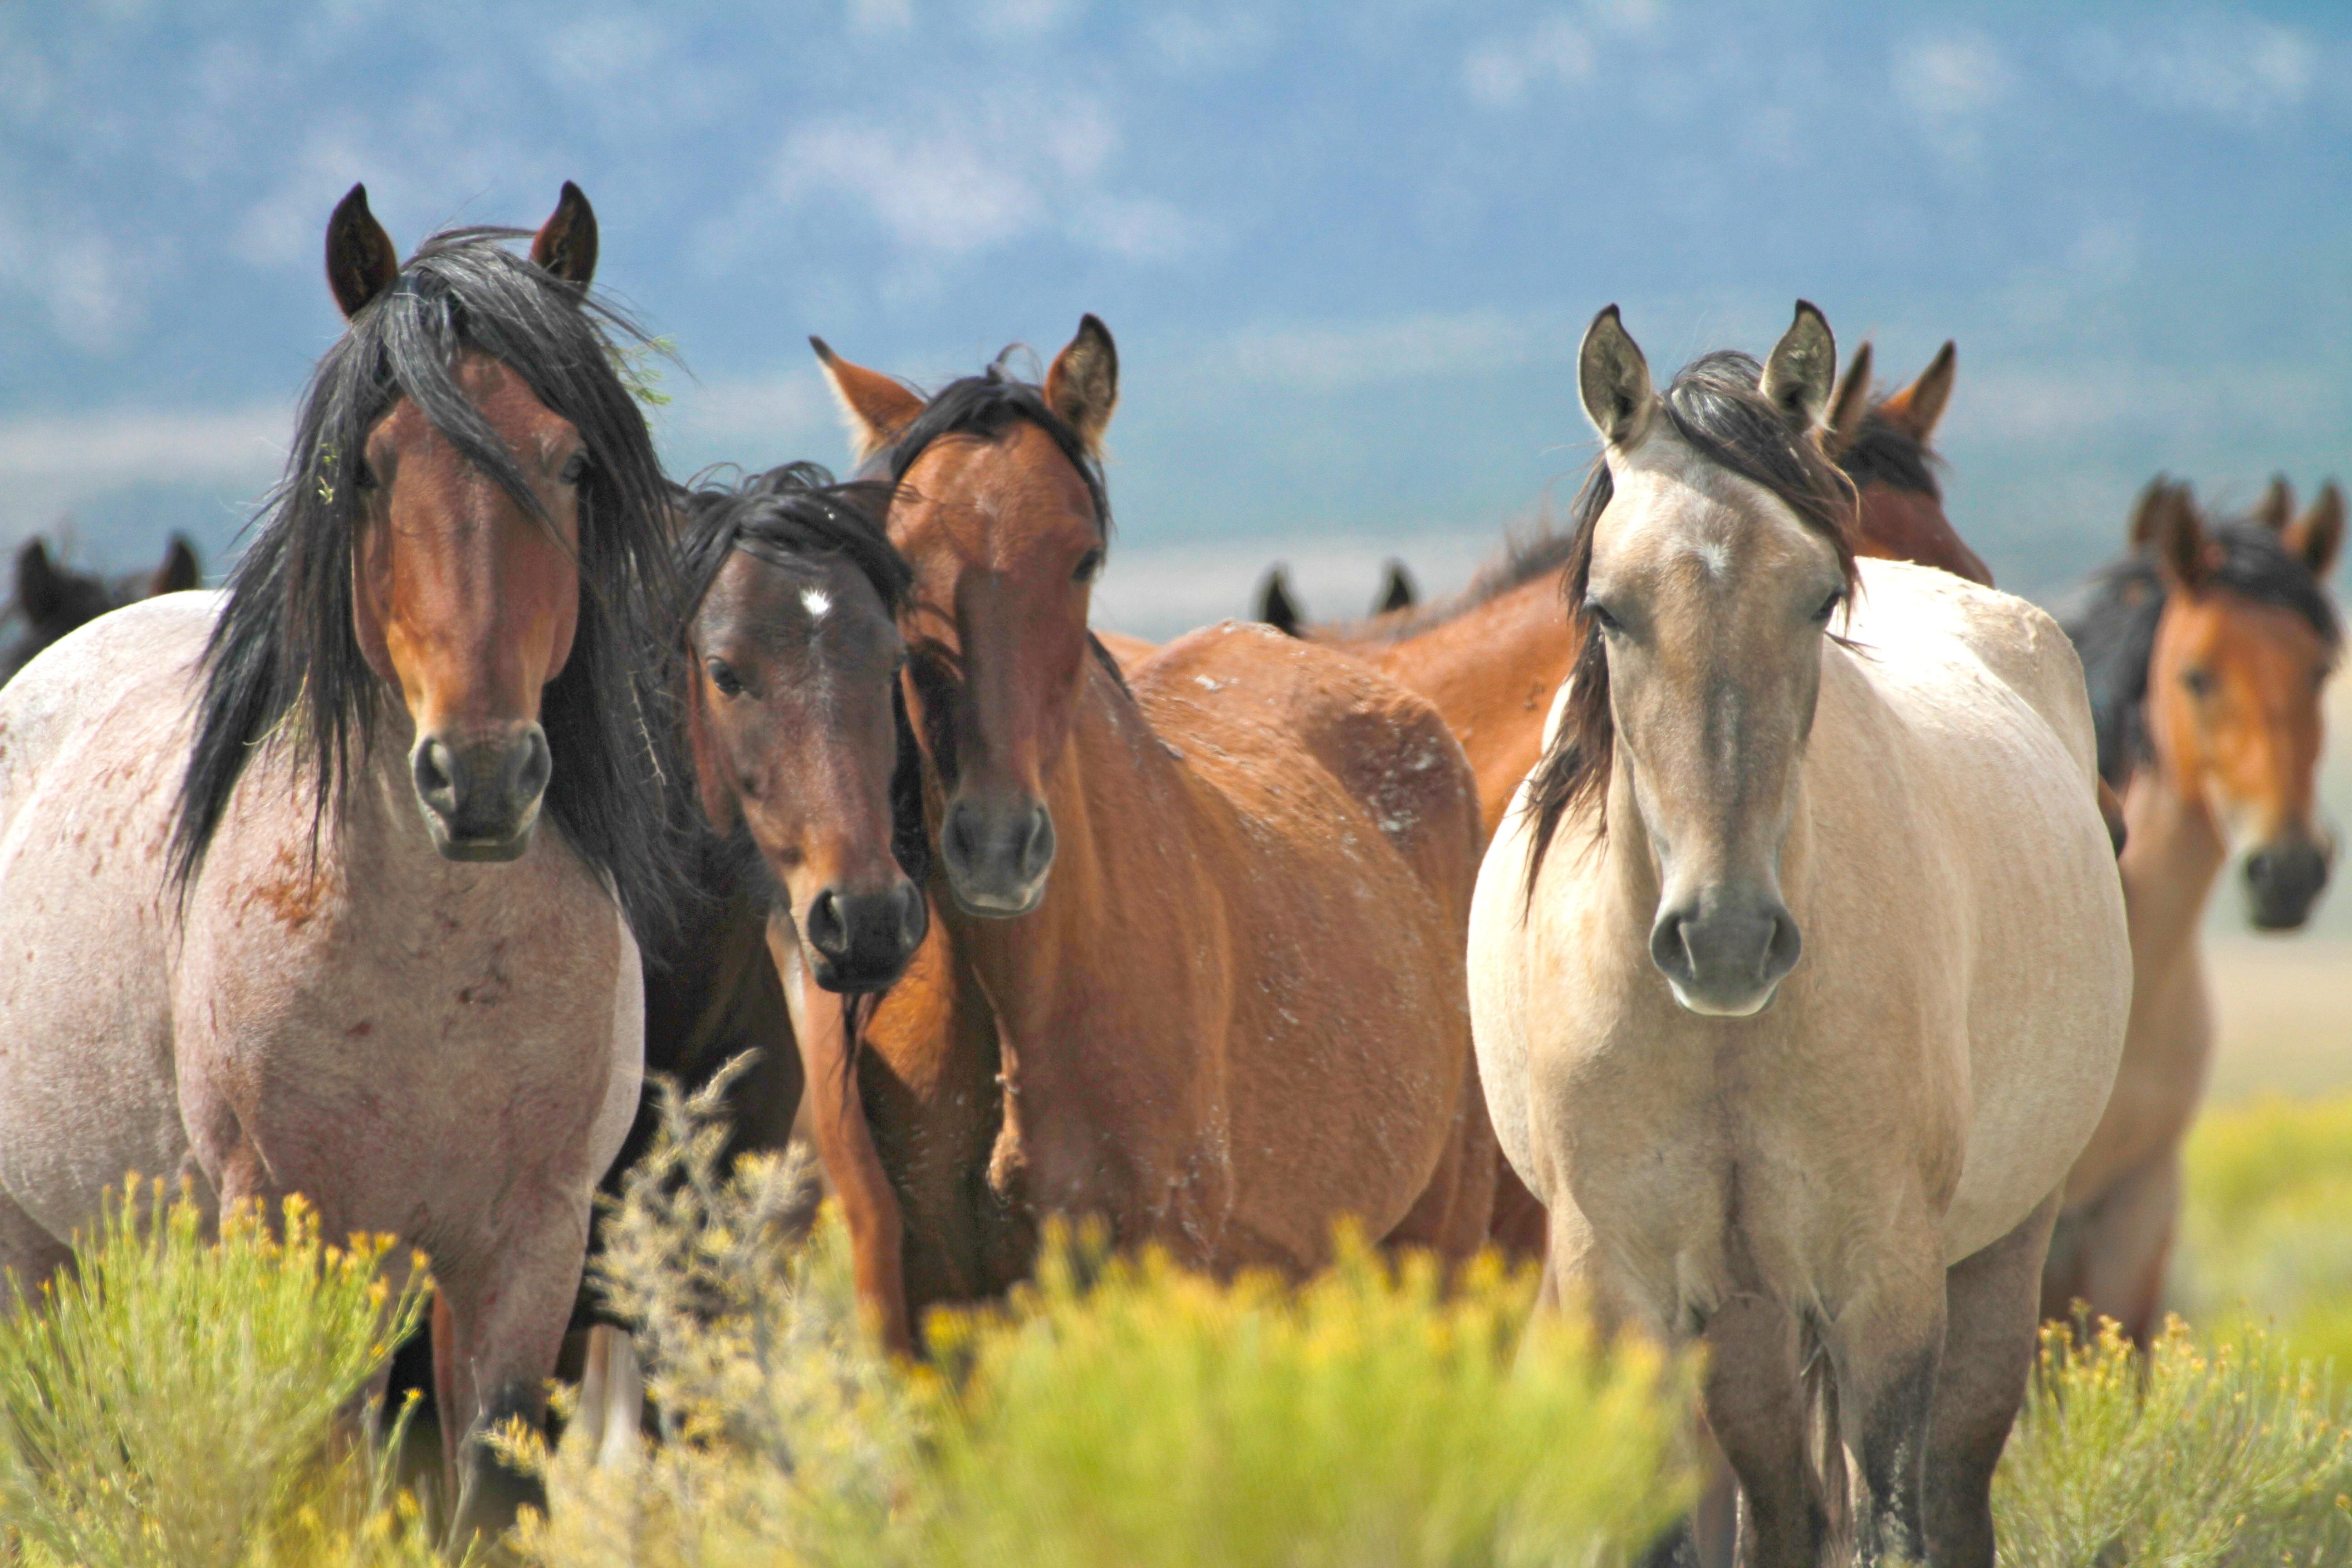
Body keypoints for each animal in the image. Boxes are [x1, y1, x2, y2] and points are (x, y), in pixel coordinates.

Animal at [799, 319, 1496, 1354]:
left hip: (1438, 1254)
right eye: (901, 566)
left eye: (1082, 558)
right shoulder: (922, 1304)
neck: (1028, 995)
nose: (996, 847)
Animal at [1467, 305, 2136, 1568]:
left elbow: (1891, 1524)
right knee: (1781, 1509)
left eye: (1818, 598)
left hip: (1995, 1259)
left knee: (1950, 1494)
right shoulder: (1623, 1291)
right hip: (1744, 1323)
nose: (1723, 940)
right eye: (1607, 609)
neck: (1722, 1042)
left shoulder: (1884, 1289)